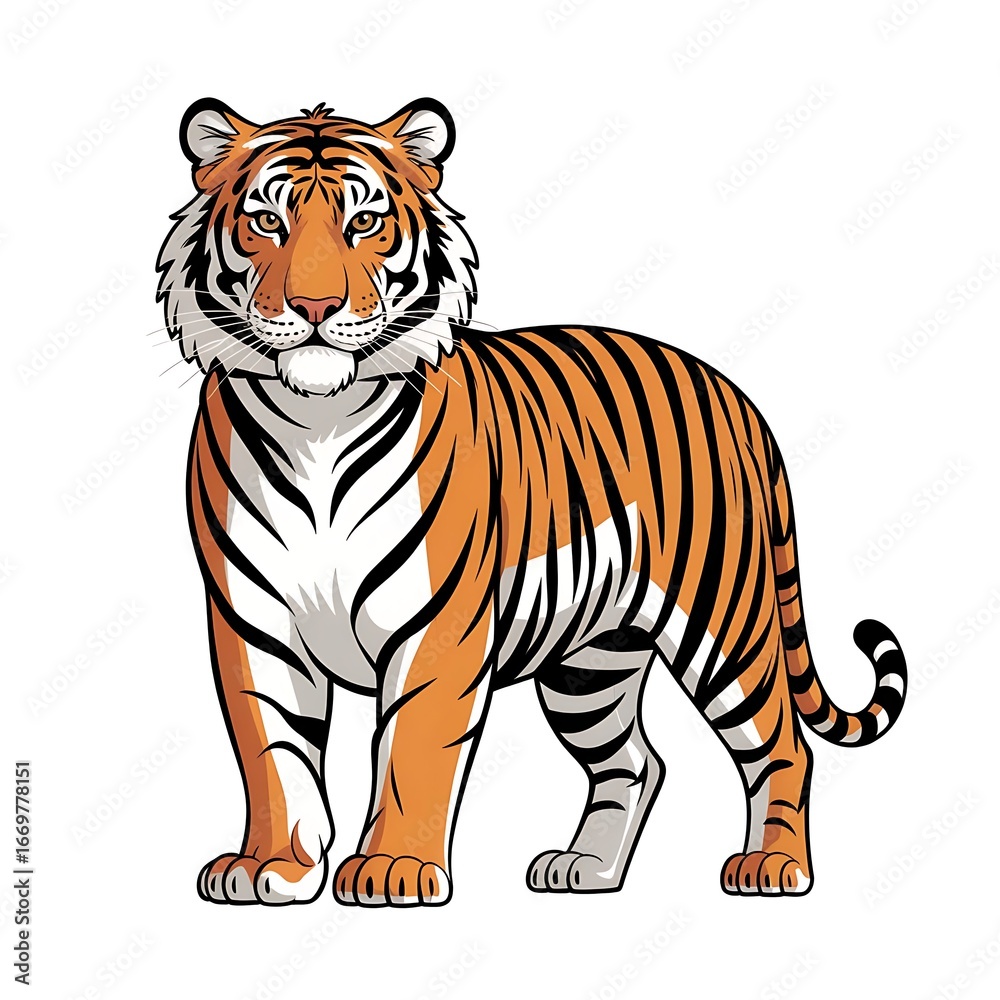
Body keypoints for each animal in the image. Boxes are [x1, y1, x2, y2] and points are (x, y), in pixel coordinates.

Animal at [156, 97, 908, 907]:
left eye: (364, 222)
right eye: (268, 221)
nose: (316, 304)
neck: (317, 419)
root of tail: (736, 394)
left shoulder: (440, 625)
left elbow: (411, 750)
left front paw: (393, 870)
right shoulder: (252, 620)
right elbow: (272, 752)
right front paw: (271, 867)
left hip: (722, 621)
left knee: (782, 743)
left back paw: (771, 867)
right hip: (589, 661)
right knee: (635, 761)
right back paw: (586, 869)